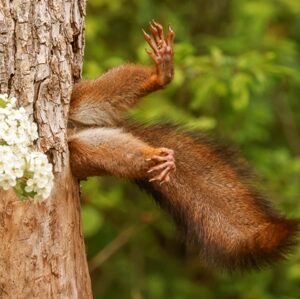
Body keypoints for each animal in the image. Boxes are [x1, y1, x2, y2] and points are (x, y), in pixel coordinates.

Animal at [67, 21, 298, 272]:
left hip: (80, 98)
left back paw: (161, 75)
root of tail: (75, 128)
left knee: (107, 91)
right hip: (81, 152)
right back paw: (157, 158)